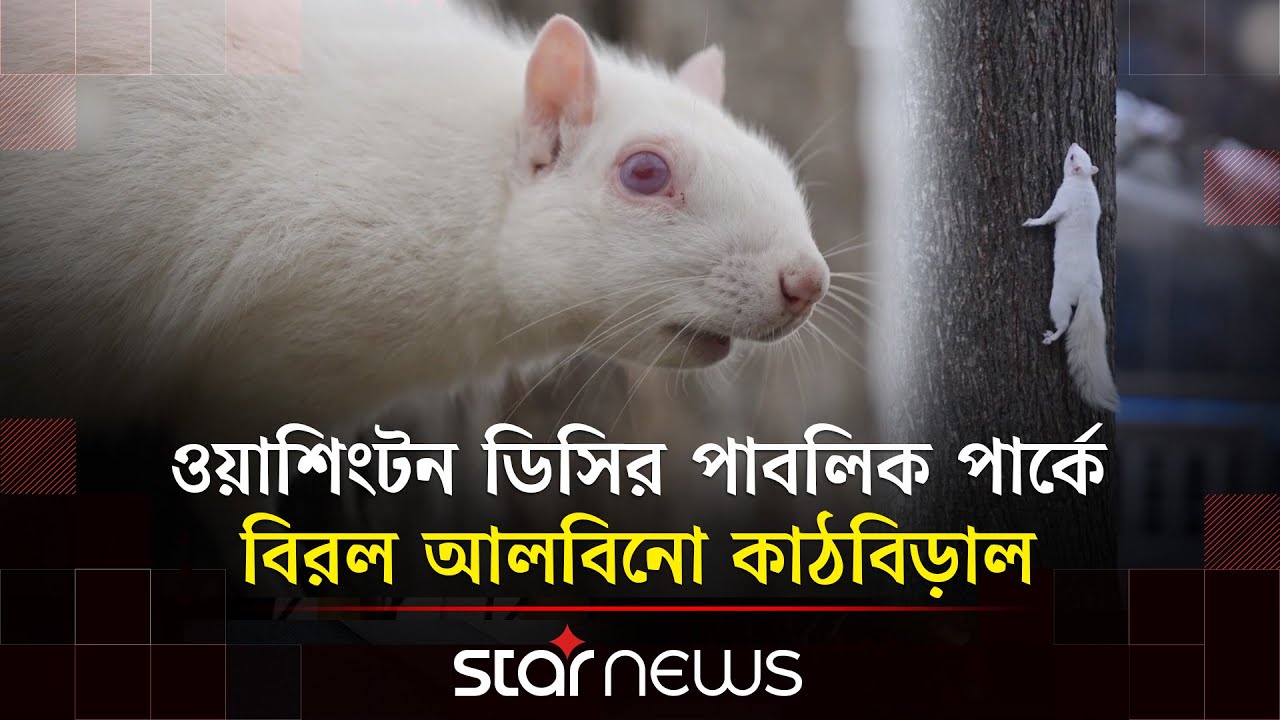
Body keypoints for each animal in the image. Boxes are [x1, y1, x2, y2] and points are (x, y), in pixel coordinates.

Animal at [1023, 143, 1120, 412]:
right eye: (1081, 153)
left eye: (1072, 157)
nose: (1073, 144)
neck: (1082, 181)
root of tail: (1089, 289)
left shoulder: (1063, 201)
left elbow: (1050, 216)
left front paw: (1032, 221)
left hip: (1058, 297)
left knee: (1065, 322)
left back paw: (1051, 336)